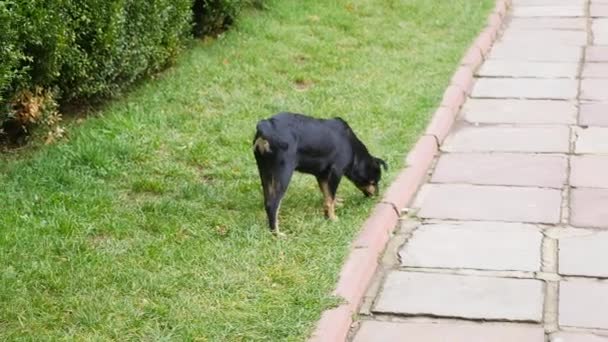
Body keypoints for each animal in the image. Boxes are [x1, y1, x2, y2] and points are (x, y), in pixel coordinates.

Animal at [253, 113, 388, 235]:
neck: (353, 149)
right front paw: (332, 218)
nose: (377, 195)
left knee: (267, 201)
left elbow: (327, 195)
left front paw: (332, 207)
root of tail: (265, 126)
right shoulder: (336, 172)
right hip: (283, 174)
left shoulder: (322, 175)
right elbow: (330, 196)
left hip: (265, 172)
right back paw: (276, 233)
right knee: (273, 204)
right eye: (373, 182)